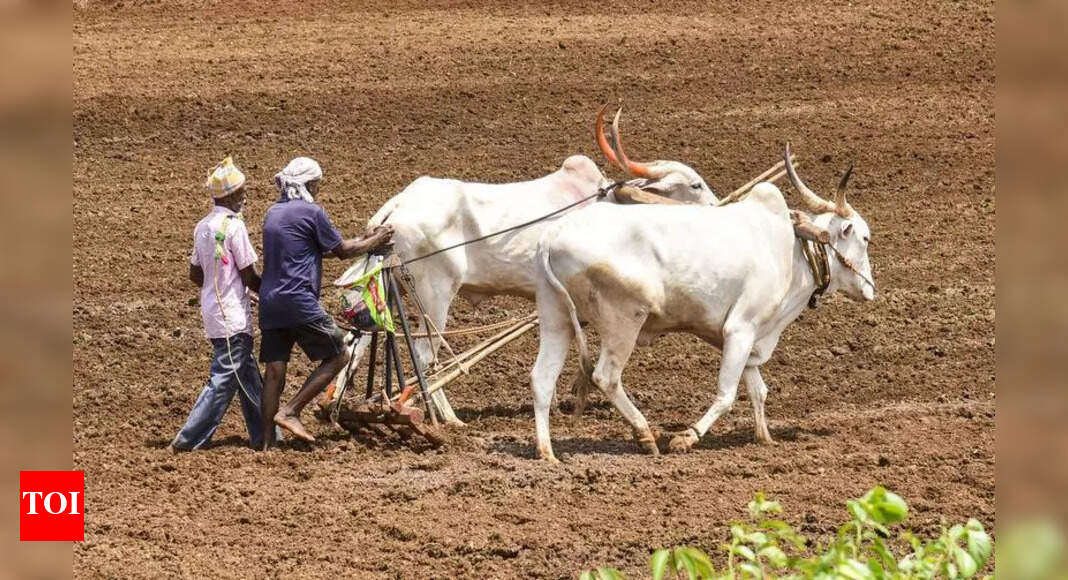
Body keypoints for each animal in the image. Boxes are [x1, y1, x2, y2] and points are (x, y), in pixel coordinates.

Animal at [327, 106, 719, 426]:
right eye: (695, 184)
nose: (717, 207)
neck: (606, 202)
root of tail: (397, 207)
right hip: (436, 296)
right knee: (426, 357)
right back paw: (449, 419)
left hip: (388, 290)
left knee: (361, 340)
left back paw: (335, 406)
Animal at [529, 144, 875, 461]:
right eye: (865, 238)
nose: (871, 289)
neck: (790, 249)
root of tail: (552, 237)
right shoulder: (740, 329)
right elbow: (727, 394)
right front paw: (687, 437)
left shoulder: (752, 339)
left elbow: (758, 390)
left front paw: (764, 438)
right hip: (624, 320)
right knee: (605, 377)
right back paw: (645, 435)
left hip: (557, 317)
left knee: (542, 378)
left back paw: (548, 453)